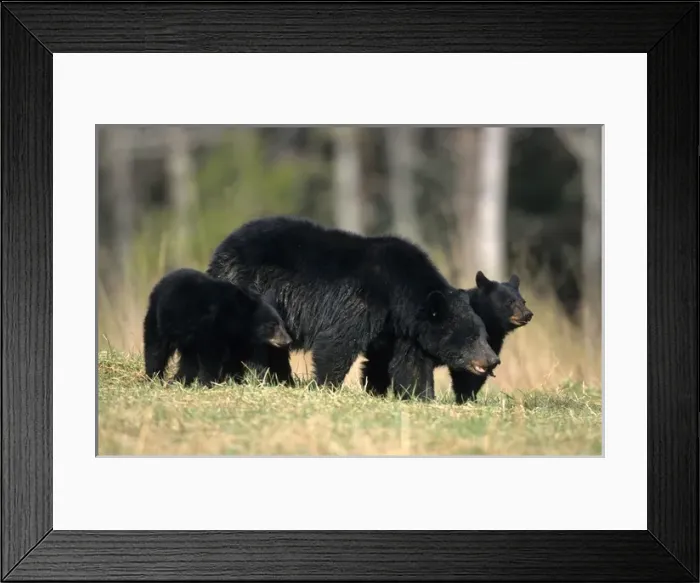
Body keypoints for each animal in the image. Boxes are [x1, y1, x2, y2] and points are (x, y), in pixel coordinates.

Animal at [143, 267, 292, 387]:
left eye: (282, 324)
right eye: (273, 325)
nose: (288, 341)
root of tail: (162, 281)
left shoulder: (237, 340)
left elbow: (235, 360)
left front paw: (237, 381)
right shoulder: (211, 329)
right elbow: (210, 356)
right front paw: (208, 383)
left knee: (188, 359)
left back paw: (180, 381)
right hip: (159, 320)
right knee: (156, 349)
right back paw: (154, 378)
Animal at [206, 215, 500, 400]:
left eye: (483, 335)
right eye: (471, 338)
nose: (492, 360)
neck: (399, 295)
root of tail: (222, 248)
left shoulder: (401, 329)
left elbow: (409, 363)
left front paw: (420, 396)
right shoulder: (362, 301)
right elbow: (338, 342)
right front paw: (325, 386)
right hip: (252, 288)